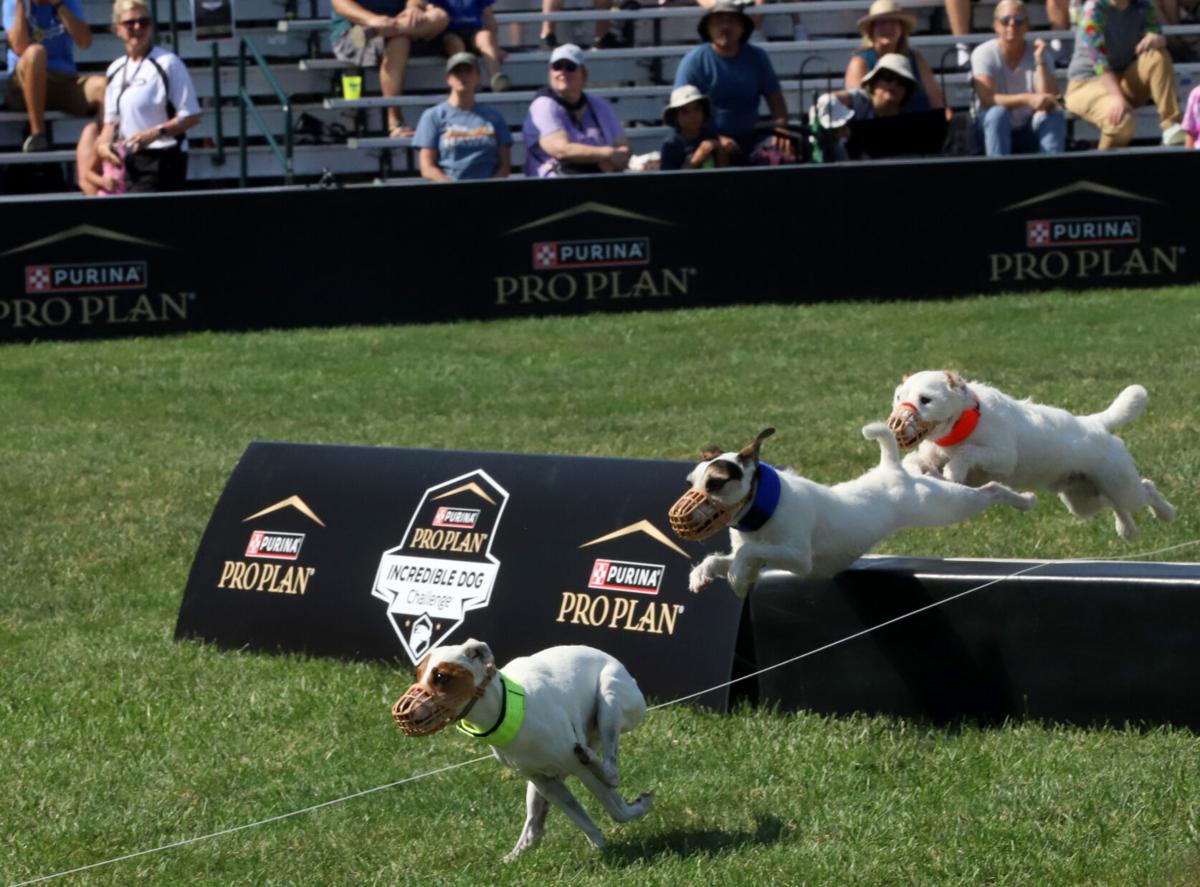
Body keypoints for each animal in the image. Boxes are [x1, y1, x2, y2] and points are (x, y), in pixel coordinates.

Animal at [391, 643, 657, 864]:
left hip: (609, 700)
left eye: (441, 676)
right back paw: (512, 858)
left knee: (611, 772)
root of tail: (622, 667)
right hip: (543, 783)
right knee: (534, 829)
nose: (401, 712)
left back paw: (596, 762)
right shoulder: (543, 780)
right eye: (417, 674)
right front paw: (600, 847)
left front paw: (635, 810)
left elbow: (617, 810)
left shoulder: (577, 769)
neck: (509, 709)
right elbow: (584, 820)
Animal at [672, 422, 1036, 597]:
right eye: (691, 481)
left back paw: (1025, 500)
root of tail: (891, 470)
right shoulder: (755, 550)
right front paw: (703, 575)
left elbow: (748, 555)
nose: (678, 517)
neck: (763, 508)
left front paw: (736, 579)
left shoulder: (796, 556)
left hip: (945, 504)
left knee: (990, 490)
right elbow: (725, 558)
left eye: (715, 483)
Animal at [888, 369, 1176, 540]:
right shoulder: (932, 454)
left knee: (1145, 488)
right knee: (1115, 504)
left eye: (926, 399)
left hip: (1121, 484)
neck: (964, 422)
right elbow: (916, 460)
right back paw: (1127, 529)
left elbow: (968, 453)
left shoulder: (1002, 455)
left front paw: (955, 468)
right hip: (1082, 500)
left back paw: (1165, 513)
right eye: (899, 397)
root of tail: (1095, 423)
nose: (895, 424)